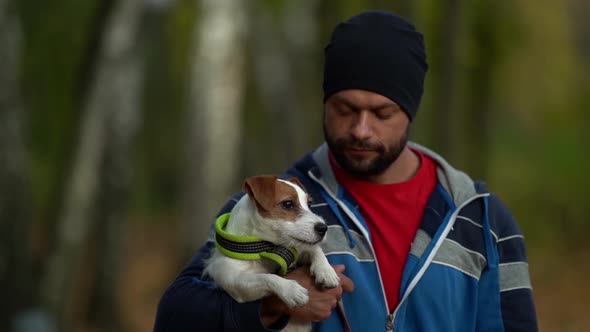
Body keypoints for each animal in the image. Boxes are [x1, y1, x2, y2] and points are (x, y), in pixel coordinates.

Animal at [205, 175, 340, 330]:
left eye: (310, 204)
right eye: (288, 204)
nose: (323, 228)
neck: (262, 248)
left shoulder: (296, 250)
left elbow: (314, 249)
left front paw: (326, 271)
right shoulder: (235, 283)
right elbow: (266, 277)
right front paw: (290, 290)